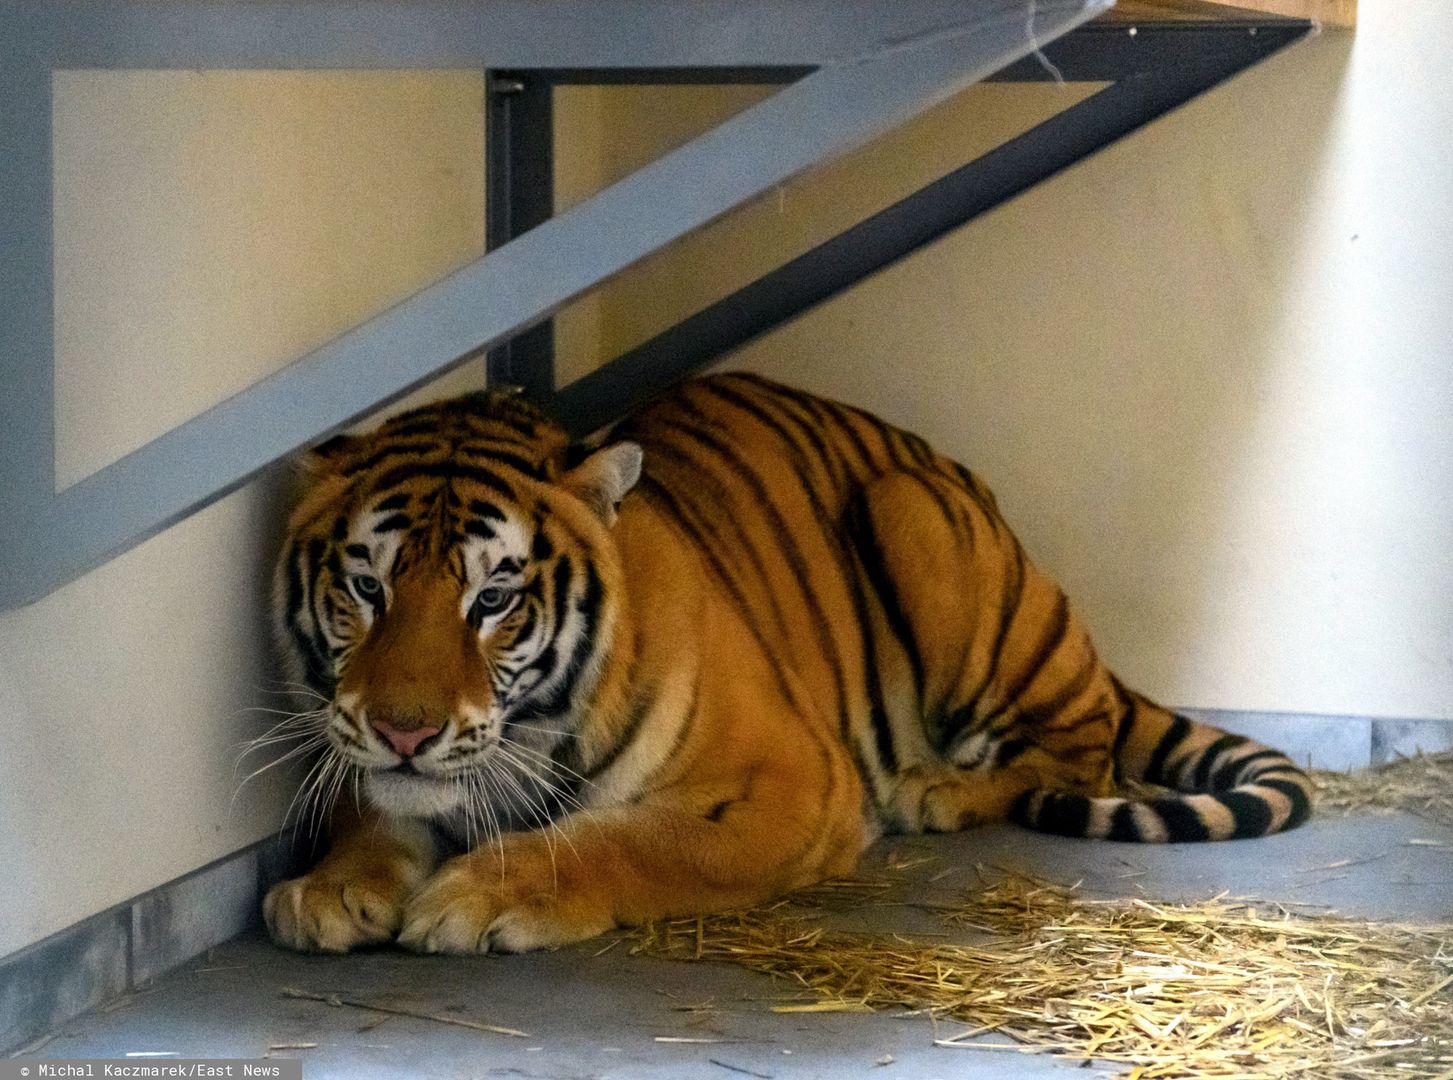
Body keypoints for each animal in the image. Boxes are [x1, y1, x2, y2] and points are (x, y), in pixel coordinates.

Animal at [264, 372, 1319, 953]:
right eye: (366, 587)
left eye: (493, 600)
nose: (405, 730)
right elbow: (371, 810)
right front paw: (329, 889)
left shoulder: (789, 781)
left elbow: (622, 839)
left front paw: (479, 894)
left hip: (914, 518)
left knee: (1078, 753)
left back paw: (939, 789)